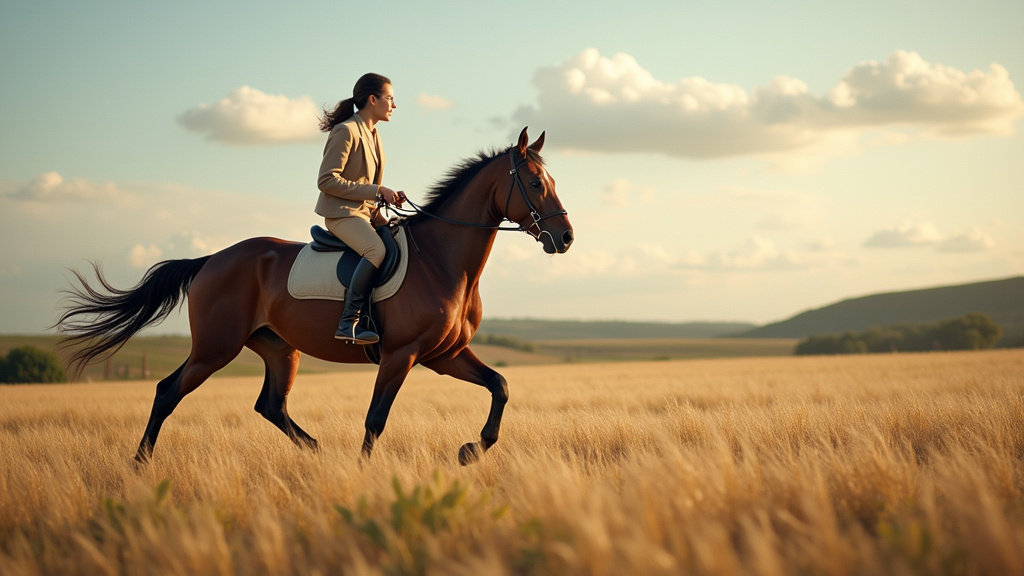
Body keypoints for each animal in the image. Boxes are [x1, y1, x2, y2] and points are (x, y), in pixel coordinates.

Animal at [56, 128, 573, 465]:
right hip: (215, 348)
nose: (566, 238)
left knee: (270, 405)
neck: (442, 260)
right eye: (533, 183)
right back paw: (139, 465)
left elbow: (500, 386)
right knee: (168, 391)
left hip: (279, 349)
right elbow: (375, 418)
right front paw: (365, 473)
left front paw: (469, 451)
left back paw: (317, 452)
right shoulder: (401, 354)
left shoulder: (444, 354)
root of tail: (212, 259)